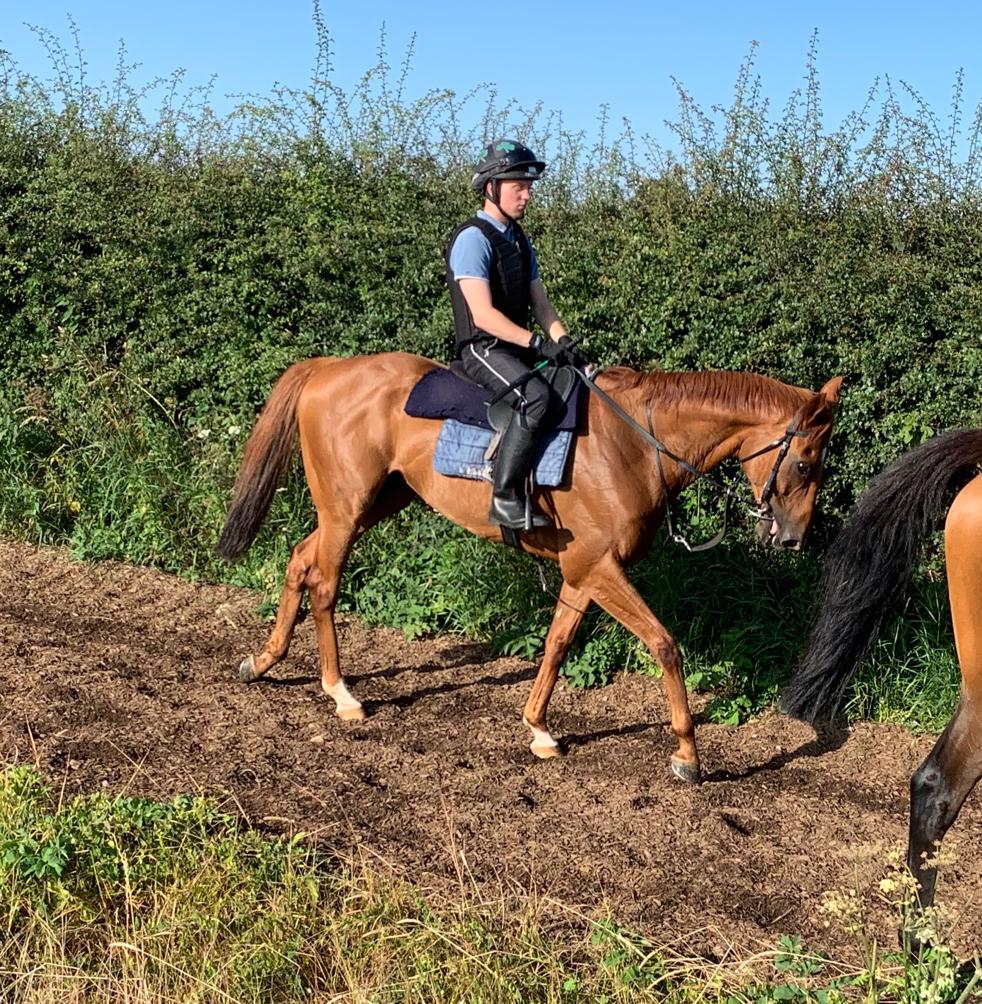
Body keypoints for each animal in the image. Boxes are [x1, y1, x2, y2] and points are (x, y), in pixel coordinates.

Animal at [219, 353, 843, 783]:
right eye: (806, 462)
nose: (793, 538)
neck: (633, 445)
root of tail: (330, 368)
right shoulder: (600, 569)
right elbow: (664, 644)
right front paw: (687, 754)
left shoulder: (583, 573)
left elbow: (557, 644)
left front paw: (539, 728)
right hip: (347, 509)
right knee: (325, 582)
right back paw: (340, 692)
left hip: (368, 505)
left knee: (300, 561)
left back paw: (264, 660)